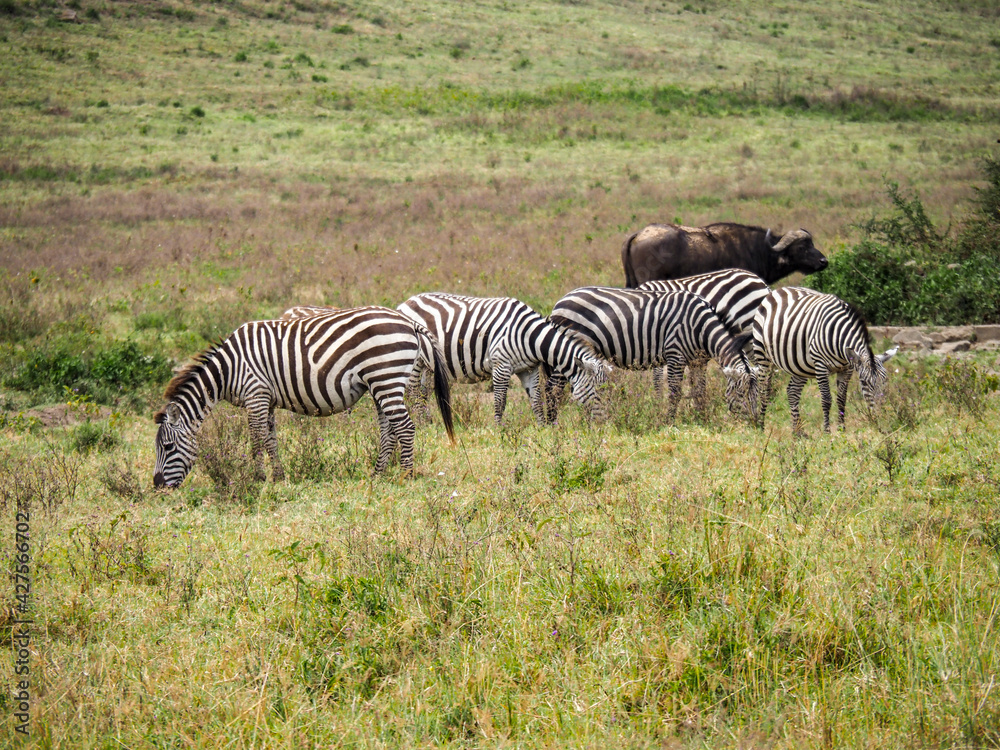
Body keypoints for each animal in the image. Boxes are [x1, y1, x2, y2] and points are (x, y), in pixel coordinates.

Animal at [153, 306, 455, 488]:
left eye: (167, 447)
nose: (157, 485)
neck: (229, 368)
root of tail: (409, 321)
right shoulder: (266, 399)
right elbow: (270, 440)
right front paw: (278, 477)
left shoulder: (255, 394)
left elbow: (256, 439)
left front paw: (257, 479)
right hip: (382, 382)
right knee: (388, 430)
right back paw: (377, 474)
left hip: (385, 377)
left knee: (405, 427)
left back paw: (406, 475)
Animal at [397, 292, 611, 425]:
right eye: (598, 391)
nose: (605, 424)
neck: (530, 336)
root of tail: (405, 303)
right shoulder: (501, 365)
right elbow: (500, 401)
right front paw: (500, 430)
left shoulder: (529, 369)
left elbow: (536, 401)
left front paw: (543, 428)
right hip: (416, 361)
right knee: (414, 392)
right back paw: (422, 424)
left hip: (428, 363)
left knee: (423, 392)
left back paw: (429, 421)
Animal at [547, 286, 756, 423]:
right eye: (741, 392)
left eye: (755, 393)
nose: (753, 424)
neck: (701, 327)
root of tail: (561, 300)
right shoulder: (675, 355)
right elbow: (675, 393)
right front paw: (669, 422)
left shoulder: (698, 361)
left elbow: (699, 392)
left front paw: (702, 419)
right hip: (565, 349)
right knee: (553, 389)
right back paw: (551, 424)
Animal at [750, 286, 897, 433]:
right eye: (864, 382)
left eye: (885, 380)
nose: (881, 413)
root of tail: (778, 290)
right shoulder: (820, 365)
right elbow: (826, 399)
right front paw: (827, 431)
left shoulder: (847, 368)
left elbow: (841, 399)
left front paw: (842, 429)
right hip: (762, 355)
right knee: (764, 390)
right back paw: (761, 426)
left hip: (800, 365)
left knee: (792, 392)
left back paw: (797, 432)